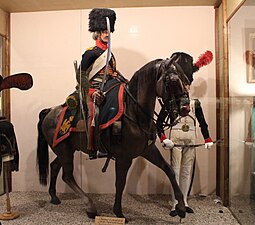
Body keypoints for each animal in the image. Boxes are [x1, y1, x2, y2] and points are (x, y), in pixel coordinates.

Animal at [36, 55, 191, 221]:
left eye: (185, 78)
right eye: (173, 80)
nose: (186, 108)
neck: (134, 112)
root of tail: (50, 111)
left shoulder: (148, 150)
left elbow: (169, 170)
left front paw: (181, 208)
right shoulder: (124, 157)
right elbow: (120, 183)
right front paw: (118, 212)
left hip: (66, 149)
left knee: (55, 166)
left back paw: (54, 197)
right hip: (64, 150)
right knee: (67, 176)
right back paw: (90, 206)